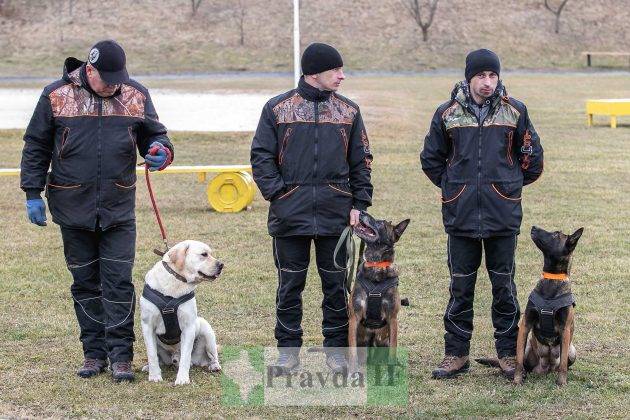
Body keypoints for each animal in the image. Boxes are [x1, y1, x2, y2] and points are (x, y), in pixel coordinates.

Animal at [348, 210, 412, 374]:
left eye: (381, 223)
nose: (362, 212)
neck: (376, 265)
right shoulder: (354, 317)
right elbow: (352, 351)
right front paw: (352, 372)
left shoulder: (392, 318)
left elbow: (392, 352)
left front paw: (392, 373)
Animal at [516, 226, 584, 388]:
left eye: (555, 235)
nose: (534, 226)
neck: (552, 279)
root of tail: (546, 368)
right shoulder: (525, 324)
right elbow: (518, 360)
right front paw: (516, 380)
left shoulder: (565, 330)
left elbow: (563, 364)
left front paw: (561, 383)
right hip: (529, 348)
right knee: (526, 363)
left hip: (572, 351)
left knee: (563, 364)